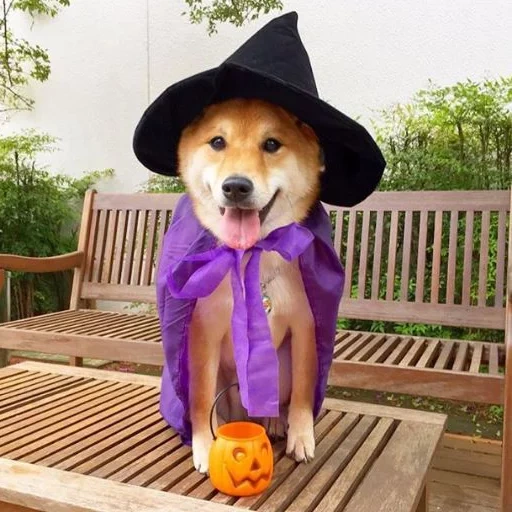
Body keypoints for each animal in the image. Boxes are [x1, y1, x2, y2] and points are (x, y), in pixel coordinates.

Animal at [176, 98, 326, 474]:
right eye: (217, 142)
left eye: (271, 144)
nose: (236, 186)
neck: (249, 264)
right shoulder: (203, 332)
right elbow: (200, 399)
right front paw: (203, 445)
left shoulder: (305, 325)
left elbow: (303, 392)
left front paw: (301, 436)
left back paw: (273, 421)